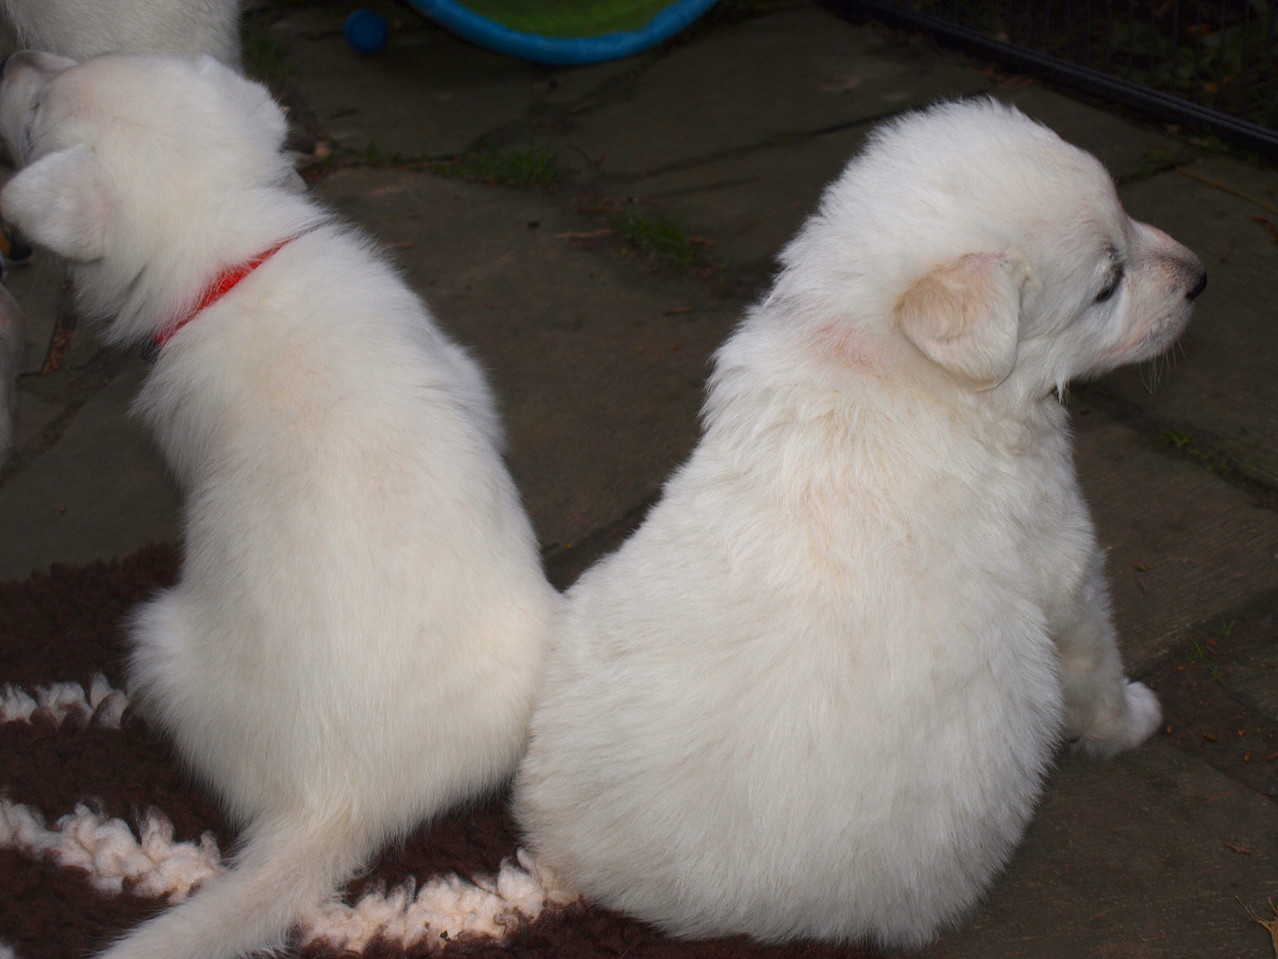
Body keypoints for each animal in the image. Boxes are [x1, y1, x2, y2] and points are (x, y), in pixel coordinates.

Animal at [511, 99, 1206, 956]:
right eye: (1108, 284)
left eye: (1127, 216)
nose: (1201, 275)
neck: (880, 355)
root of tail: (593, 878)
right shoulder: (1065, 557)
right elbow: (1098, 663)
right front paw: (1135, 719)